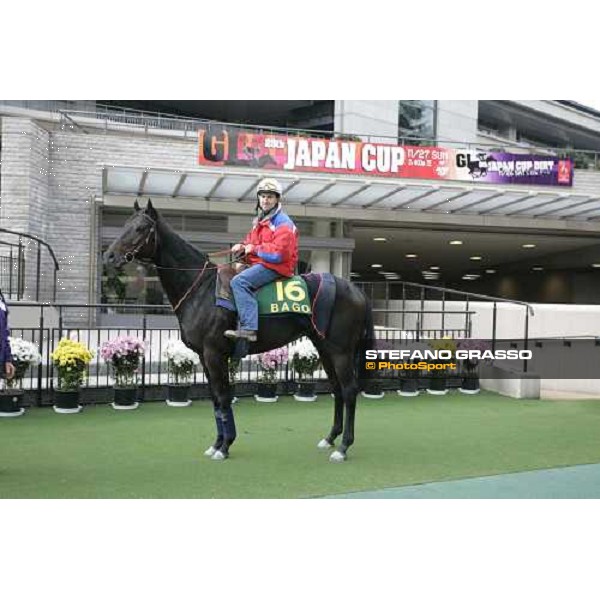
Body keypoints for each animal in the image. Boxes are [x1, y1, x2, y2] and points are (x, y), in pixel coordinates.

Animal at [104, 199, 376, 462]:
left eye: (140, 228)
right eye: (125, 224)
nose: (109, 256)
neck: (201, 289)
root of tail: (356, 290)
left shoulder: (214, 354)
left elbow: (224, 397)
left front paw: (225, 446)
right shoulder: (204, 356)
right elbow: (216, 399)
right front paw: (217, 444)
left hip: (341, 351)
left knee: (349, 390)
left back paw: (343, 447)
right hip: (324, 347)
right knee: (337, 388)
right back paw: (330, 438)